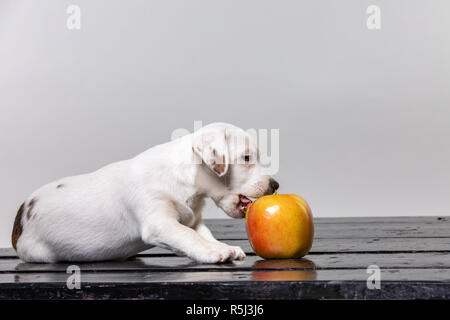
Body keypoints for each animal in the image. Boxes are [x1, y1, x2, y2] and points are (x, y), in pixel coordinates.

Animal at [11, 122, 278, 262]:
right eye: (246, 158)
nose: (275, 185)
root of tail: (20, 217)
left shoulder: (194, 220)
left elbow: (203, 234)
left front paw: (222, 246)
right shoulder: (159, 222)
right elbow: (189, 236)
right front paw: (215, 251)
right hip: (37, 252)